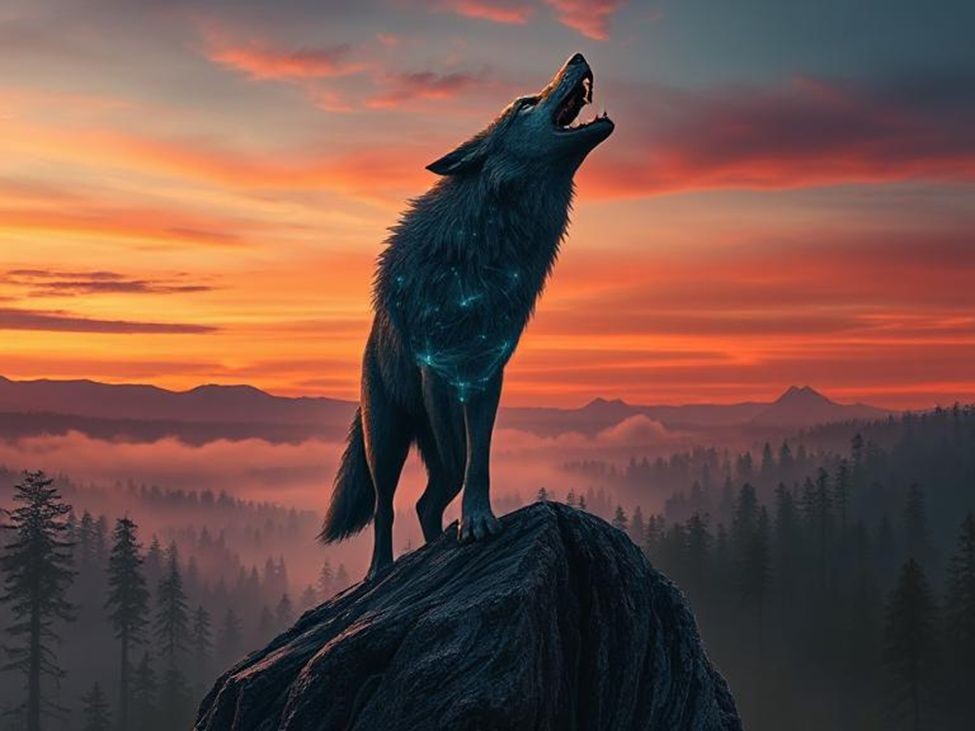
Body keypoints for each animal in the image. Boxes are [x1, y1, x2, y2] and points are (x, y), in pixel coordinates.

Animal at [320, 53, 614, 579]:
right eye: (525, 103)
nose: (577, 57)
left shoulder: (485, 374)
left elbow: (477, 459)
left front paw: (477, 520)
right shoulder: (437, 370)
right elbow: (459, 456)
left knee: (426, 502)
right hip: (386, 437)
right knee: (388, 505)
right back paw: (380, 569)